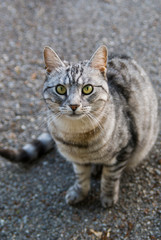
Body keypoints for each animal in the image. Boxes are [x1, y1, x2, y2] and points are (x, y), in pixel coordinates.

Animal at [0, 46, 158, 207]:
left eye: (87, 89)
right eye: (60, 89)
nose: (74, 105)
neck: (77, 135)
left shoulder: (123, 150)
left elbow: (110, 178)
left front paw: (108, 197)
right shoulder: (77, 161)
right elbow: (81, 178)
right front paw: (79, 193)